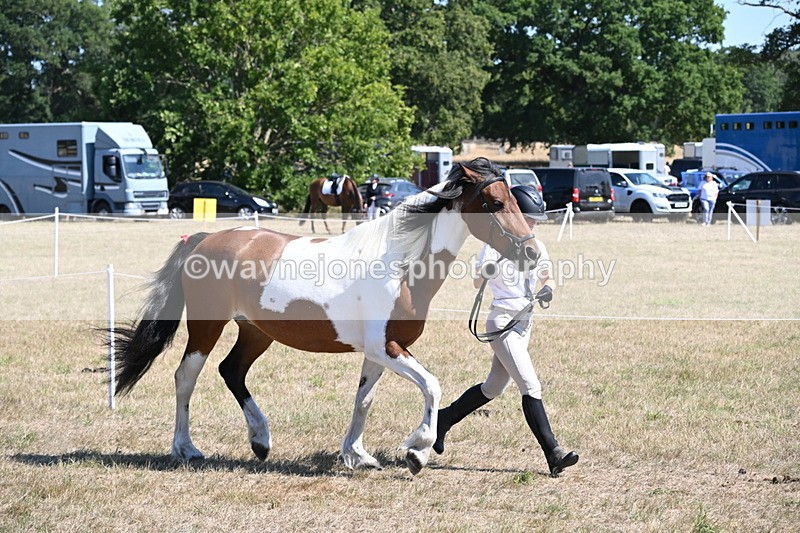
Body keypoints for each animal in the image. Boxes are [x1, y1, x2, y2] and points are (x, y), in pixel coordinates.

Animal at [111, 157, 540, 476]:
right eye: (495, 203)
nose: (532, 253)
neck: (399, 265)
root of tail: (203, 239)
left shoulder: (379, 351)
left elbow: (364, 399)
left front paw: (357, 454)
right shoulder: (387, 347)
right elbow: (432, 385)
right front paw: (417, 451)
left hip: (256, 332)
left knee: (231, 371)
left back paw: (260, 441)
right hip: (207, 326)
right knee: (186, 377)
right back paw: (186, 448)